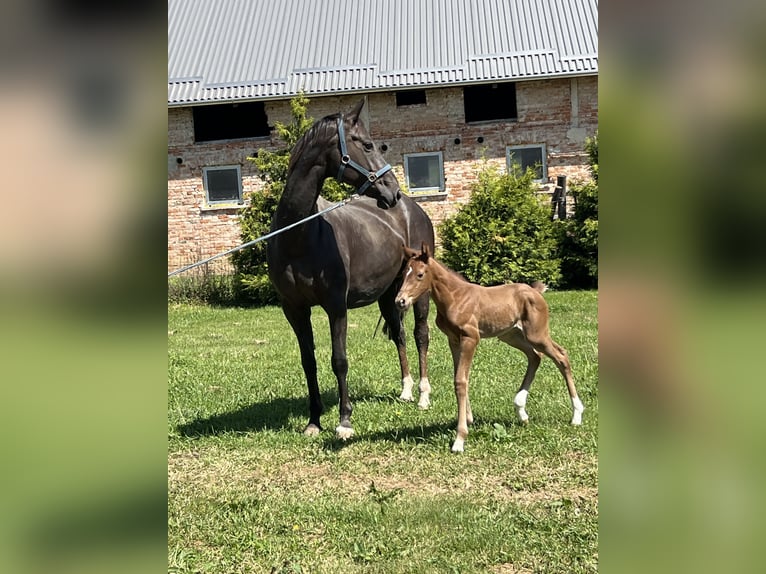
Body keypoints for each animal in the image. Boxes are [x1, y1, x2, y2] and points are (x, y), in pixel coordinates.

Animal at [268, 100, 436, 440]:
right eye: (368, 145)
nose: (393, 191)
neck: (299, 237)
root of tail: (413, 209)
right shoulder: (294, 309)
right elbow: (309, 362)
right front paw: (314, 420)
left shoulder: (336, 306)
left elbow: (339, 360)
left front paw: (344, 421)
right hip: (391, 294)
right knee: (399, 334)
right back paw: (406, 390)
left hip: (419, 292)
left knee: (420, 334)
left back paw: (423, 396)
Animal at [396, 246, 584, 454]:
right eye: (404, 274)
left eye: (420, 274)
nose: (400, 301)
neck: (455, 297)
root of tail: (535, 291)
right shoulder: (453, 339)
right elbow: (460, 376)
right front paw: (468, 419)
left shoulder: (470, 338)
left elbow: (460, 380)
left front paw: (460, 439)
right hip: (511, 335)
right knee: (535, 356)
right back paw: (521, 410)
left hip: (536, 334)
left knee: (561, 356)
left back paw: (576, 415)